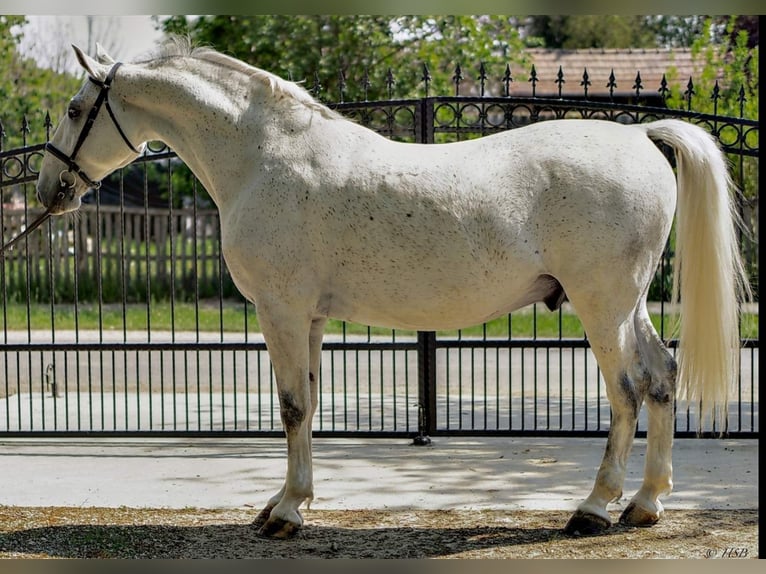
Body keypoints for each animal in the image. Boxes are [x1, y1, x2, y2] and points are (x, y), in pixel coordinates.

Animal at [36, 41, 752, 540]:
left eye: (75, 110)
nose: (49, 192)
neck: (263, 157)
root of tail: (637, 135)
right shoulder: (310, 319)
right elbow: (309, 407)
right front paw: (288, 501)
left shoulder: (280, 312)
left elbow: (291, 408)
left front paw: (285, 514)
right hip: (628, 306)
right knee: (662, 378)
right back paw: (646, 504)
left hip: (602, 306)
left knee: (627, 391)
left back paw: (594, 508)